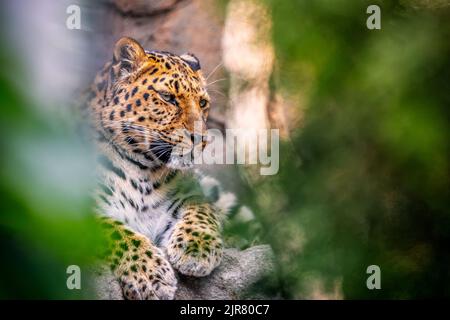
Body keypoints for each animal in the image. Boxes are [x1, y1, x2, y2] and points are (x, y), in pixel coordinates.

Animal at [82, 37, 234, 300]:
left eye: (203, 103)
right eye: (168, 98)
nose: (201, 139)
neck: (142, 169)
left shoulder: (191, 191)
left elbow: (203, 208)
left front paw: (197, 248)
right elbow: (116, 232)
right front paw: (149, 275)